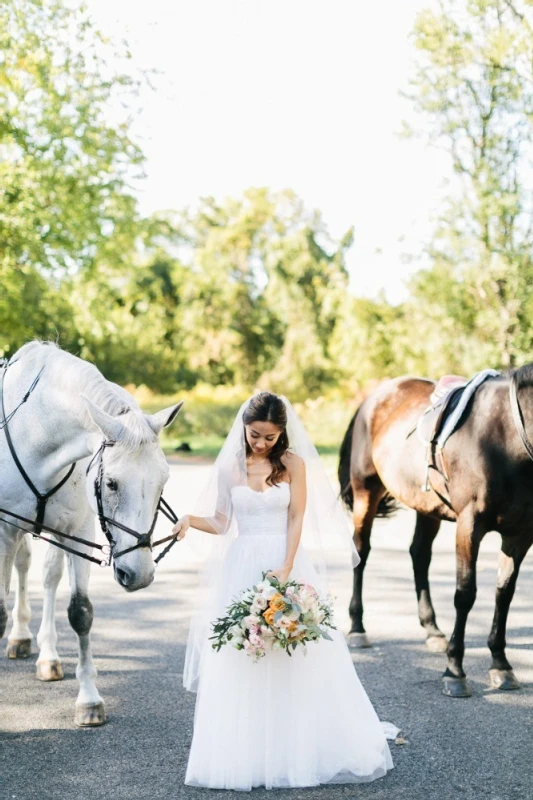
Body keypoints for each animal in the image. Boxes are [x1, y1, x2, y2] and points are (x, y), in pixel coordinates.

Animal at [1, 340, 182, 728]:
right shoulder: (5, 529)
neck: (36, 429)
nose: (138, 573)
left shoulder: (76, 531)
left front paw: (89, 700)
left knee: (45, 574)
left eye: (163, 482)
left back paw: (44, 653)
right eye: (111, 483)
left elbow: (80, 612)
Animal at [338, 372, 532, 696]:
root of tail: (374, 397)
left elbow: (504, 593)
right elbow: (465, 594)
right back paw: (357, 629)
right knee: (361, 553)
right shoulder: (469, 525)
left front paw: (501, 665)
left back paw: (432, 630)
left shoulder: (519, 534)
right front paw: (454, 671)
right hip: (367, 491)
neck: (506, 436)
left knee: (419, 555)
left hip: (426, 507)